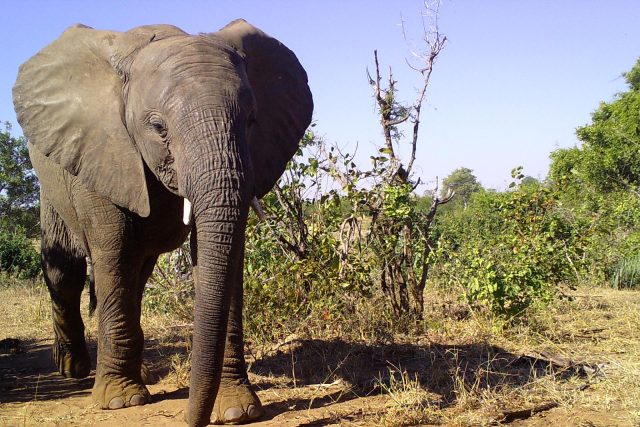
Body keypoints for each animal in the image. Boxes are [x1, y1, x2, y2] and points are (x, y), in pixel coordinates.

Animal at [13, 19, 314, 424]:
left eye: (252, 121)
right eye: (158, 127)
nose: (193, 419)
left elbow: (224, 257)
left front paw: (237, 410)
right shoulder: (102, 150)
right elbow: (112, 251)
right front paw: (120, 402)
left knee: (136, 274)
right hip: (52, 186)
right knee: (67, 270)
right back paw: (73, 369)